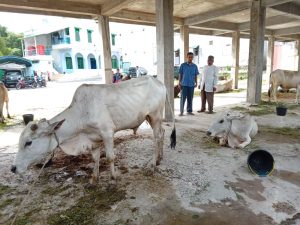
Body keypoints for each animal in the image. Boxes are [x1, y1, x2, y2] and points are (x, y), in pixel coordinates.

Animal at [11, 76, 176, 183]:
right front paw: (94, 178)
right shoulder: (93, 138)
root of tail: (159, 82)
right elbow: (95, 158)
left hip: (155, 115)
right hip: (151, 118)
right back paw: (159, 158)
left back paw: (152, 164)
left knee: (157, 137)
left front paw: (114, 177)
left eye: (28, 142)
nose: (13, 168)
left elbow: (110, 157)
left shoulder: (107, 133)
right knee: (162, 133)